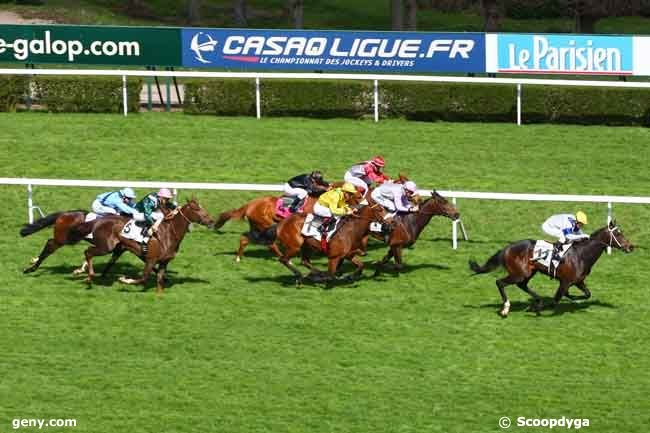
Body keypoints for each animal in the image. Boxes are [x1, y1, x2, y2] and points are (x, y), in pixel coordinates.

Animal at [77, 198, 215, 294]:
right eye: (197, 209)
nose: (211, 221)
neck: (169, 233)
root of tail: (98, 220)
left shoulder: (164, 261)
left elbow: (159, 278)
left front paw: (160, 294)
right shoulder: (150, 259)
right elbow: (143, 278)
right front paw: (124, 280)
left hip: (116, 248)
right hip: (105, 247)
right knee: (88, 252)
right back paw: (88, 276)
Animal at [468, 220, 634, 317]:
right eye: (618, 233)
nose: (630, 247)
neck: (581, 254)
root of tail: (507, 248)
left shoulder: (578, 281)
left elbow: (587, 294)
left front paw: (572, 299)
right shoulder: (565, 281)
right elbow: (556, 300)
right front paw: (536, 308)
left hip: (528, 272)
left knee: (522, 285)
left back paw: (537, 300)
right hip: (520, 273)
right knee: (500, 282)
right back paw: (506, 308)